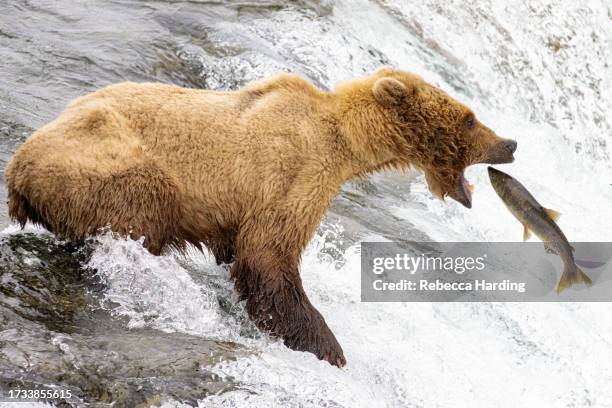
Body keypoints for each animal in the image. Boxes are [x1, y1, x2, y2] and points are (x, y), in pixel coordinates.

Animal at [4, 67, 512, 366]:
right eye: (469, 118)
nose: (509, 143)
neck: (348, 143)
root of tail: (17, 171)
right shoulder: (294, 172)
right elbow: (269, 258)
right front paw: (327, 347)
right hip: (102, 163)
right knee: (143, 206)